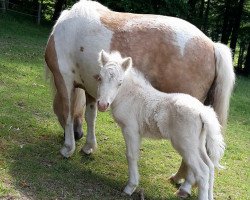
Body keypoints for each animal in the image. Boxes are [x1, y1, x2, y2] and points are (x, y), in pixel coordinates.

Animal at [95, 50, 225, 200]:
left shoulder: (130, 129)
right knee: (210, 166)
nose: (102, 105)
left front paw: (130, 187)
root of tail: (202, 111)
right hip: (198, 143)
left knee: (203, 171)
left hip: (185, 144)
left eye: (119, 83)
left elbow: (131, 155)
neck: (131, 96)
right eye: (100, 78)